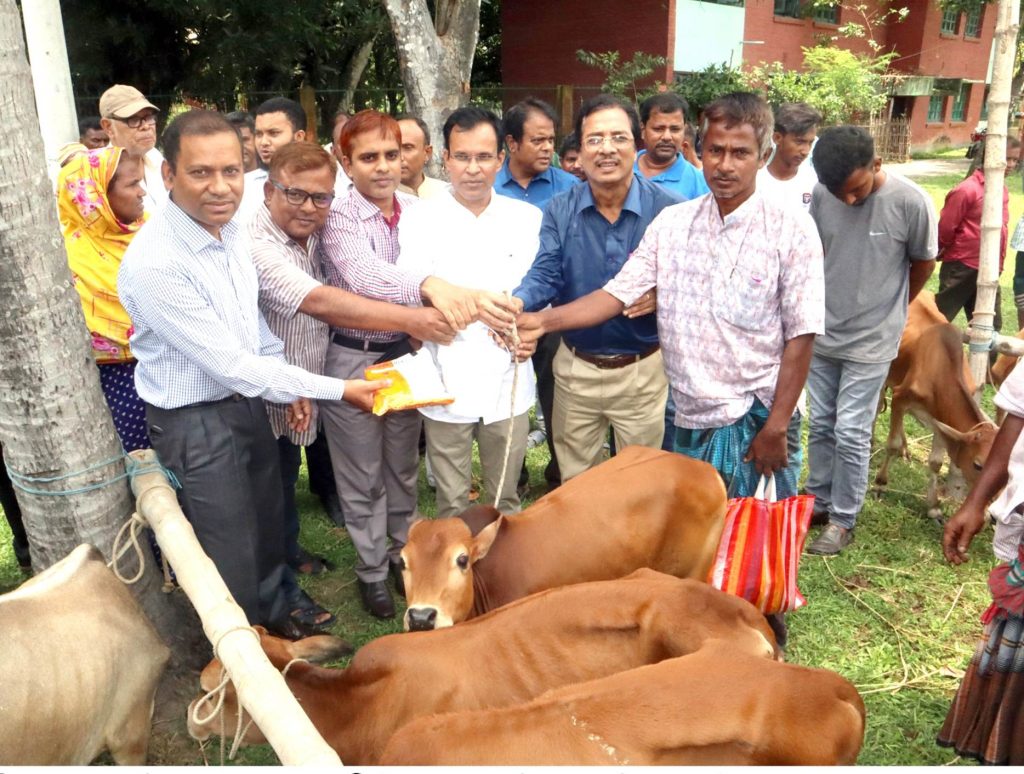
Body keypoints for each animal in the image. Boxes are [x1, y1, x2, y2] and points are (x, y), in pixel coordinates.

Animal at [876, 292, 995, 516]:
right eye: (977, 465)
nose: (990, 515)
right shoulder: (900, 397)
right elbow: (892, 444)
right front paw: (880, 484)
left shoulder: (940, 419)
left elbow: (936, 463)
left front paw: (933, 506)